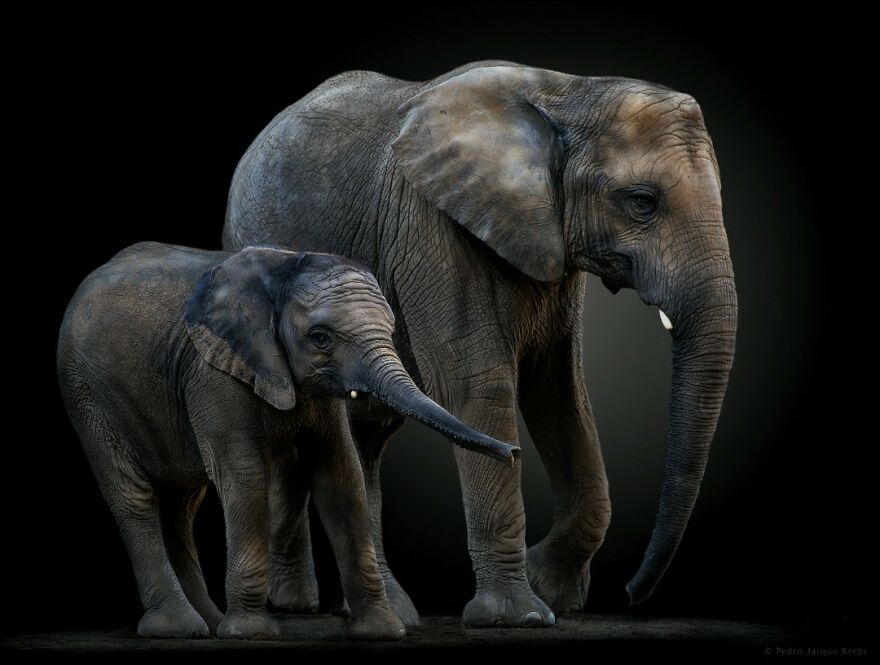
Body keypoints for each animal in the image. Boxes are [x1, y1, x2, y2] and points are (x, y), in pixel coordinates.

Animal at [57, 242, 517, 640]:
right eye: (320, 338)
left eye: (390, 329)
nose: (513, 453)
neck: (284, 267)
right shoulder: (212, 371)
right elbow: (244, 476)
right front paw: (251, 634)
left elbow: (341, 476)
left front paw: (382, 632)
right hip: (88, 395)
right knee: (134, 498)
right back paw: (180, 628)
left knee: (181, 505)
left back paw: (208, 624)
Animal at [223, 61, 738, 627]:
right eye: (642, 202)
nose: (629, 594)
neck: (569, 92)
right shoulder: (434, 230)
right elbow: (478, 389)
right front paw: (519, 617)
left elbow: (561, 394)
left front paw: (552, 589)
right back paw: (340, 610)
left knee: (362, 433)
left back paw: (336, 608)